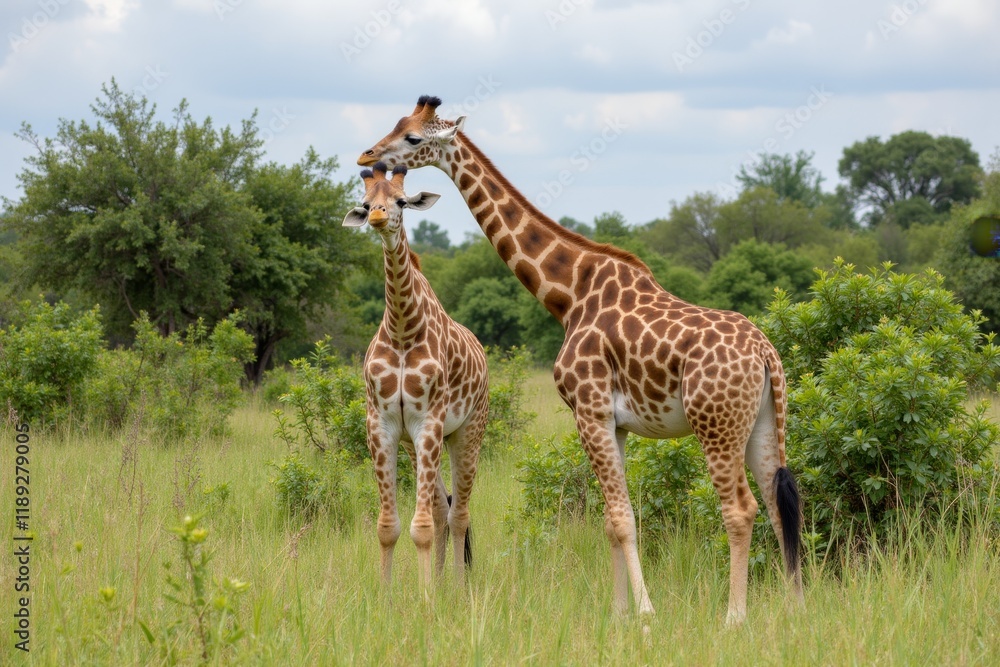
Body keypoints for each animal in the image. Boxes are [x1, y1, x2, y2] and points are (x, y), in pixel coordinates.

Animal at [342, 161, 490, 590]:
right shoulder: (383, 425)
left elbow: (420, 526)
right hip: (415, 443)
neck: (403, 329)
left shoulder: (430, 421)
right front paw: (386, 594)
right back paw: (440, 581)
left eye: (401, 202)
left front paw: (426, 599)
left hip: (467, 431)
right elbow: (387, 526)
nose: (377, 217)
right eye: (366, 203)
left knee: (459, 513)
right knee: (442, 507)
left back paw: (455, 587)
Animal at [357, 96, 803, 624]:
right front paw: (618, 614)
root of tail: (767, 353)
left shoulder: (588, 410)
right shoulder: (616, 422)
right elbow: (613, 520)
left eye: (411, 138)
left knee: (740, 508)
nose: (367, 155)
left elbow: (622, 517)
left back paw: (734, 618)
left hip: (716, 423)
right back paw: (792, 610)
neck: (569, 293)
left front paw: (646, 614)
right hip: (762, 423)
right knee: (778, 503)